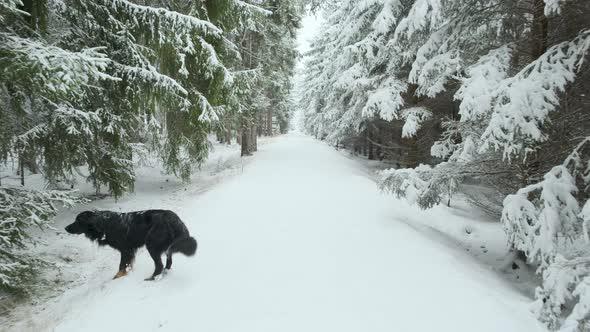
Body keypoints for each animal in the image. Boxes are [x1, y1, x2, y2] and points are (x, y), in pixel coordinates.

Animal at [65, 210, 197, 280]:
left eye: (78, 221)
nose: (66, 228)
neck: (103, 224)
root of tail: (175, 220)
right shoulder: (129, 250)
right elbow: (127, 265)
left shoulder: (125, 249)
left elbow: (121, 266)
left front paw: (117, 278)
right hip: (167, 246)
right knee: (169, 261)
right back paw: (165, 272)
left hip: (152, 245)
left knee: (159, 265)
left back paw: (152, 278)